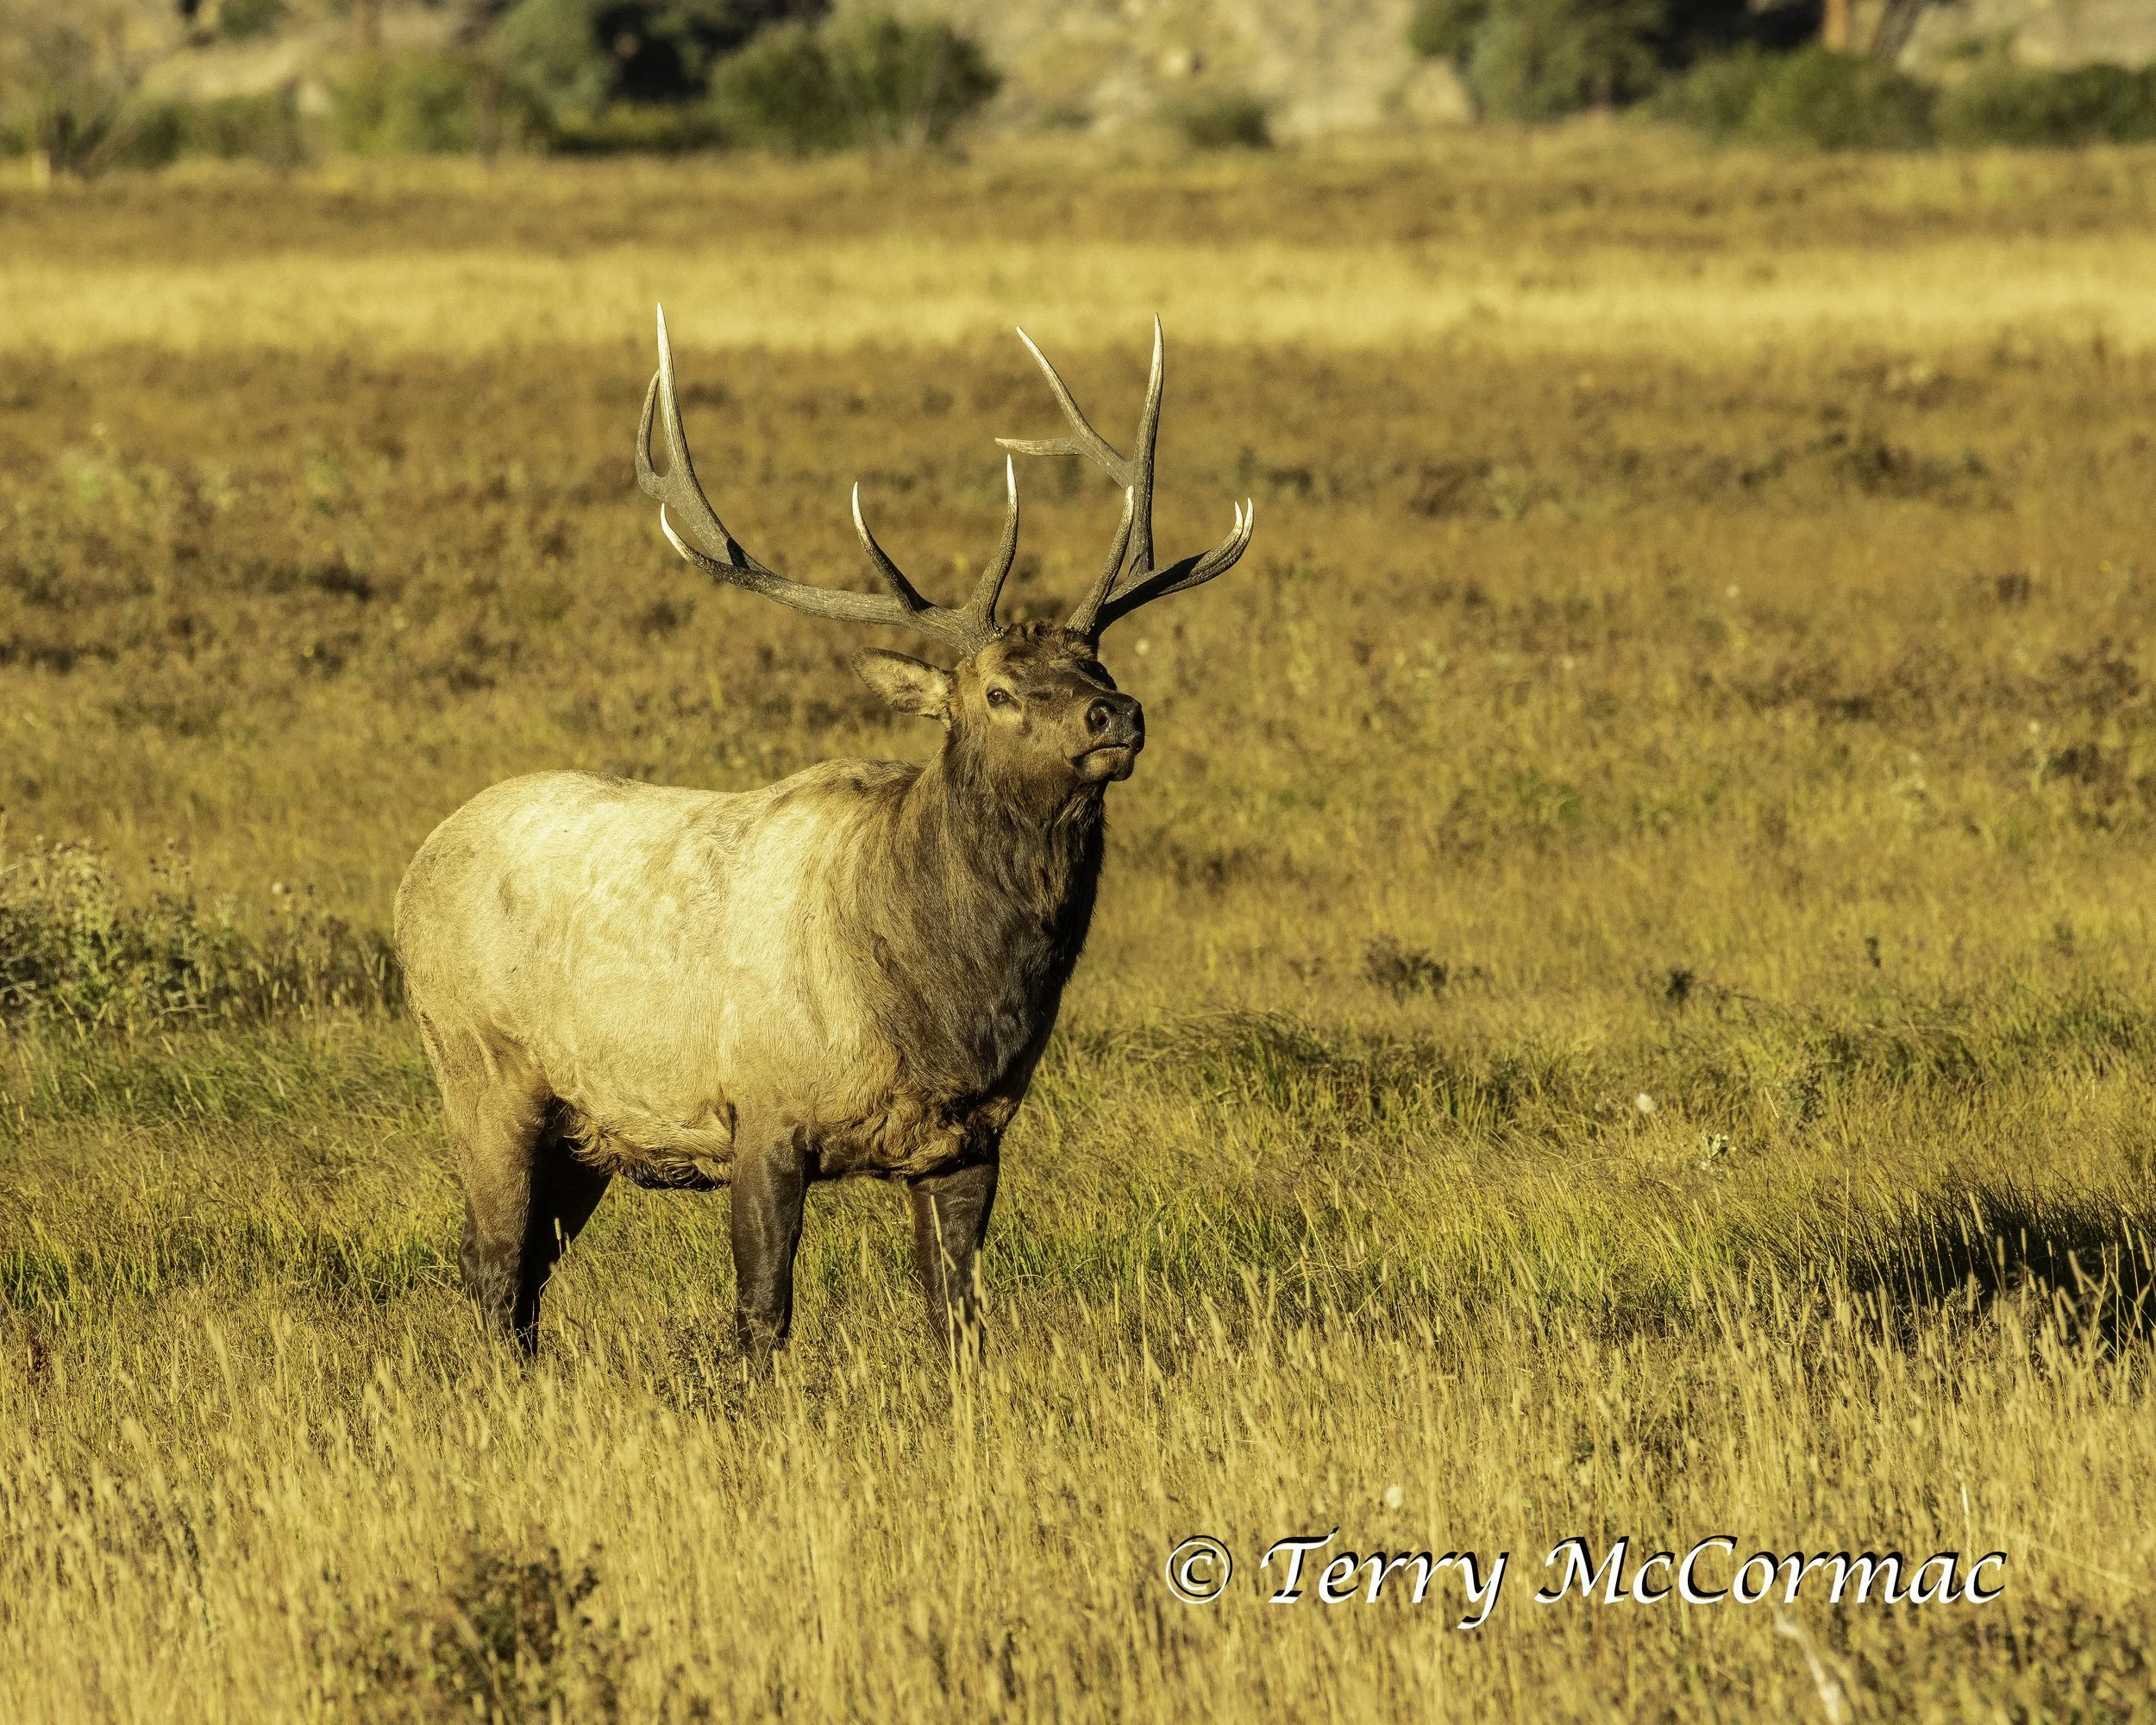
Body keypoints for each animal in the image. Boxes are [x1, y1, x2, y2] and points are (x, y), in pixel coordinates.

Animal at [393, 308, 1254, 1369]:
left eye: (1096, 660)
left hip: (586, 1130)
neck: (947, 1004)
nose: (1118, 716)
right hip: (479, 1069)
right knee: (489, 1263)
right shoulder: (763, 1109)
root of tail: (415, 867)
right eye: (998, 692)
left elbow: (958, 1316)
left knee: (527, 1276)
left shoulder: (971, 1134)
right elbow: (761, 1316)